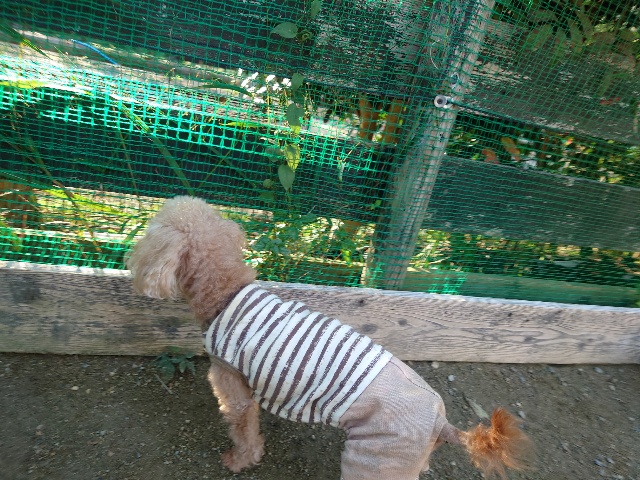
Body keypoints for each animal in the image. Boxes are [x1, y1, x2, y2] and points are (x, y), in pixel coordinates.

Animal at [126, 196, 532, 479]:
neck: (226, 291)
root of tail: (441, 423)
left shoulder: (234, 390)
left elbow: (244, 433)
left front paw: (239, 460)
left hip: (374, 459)